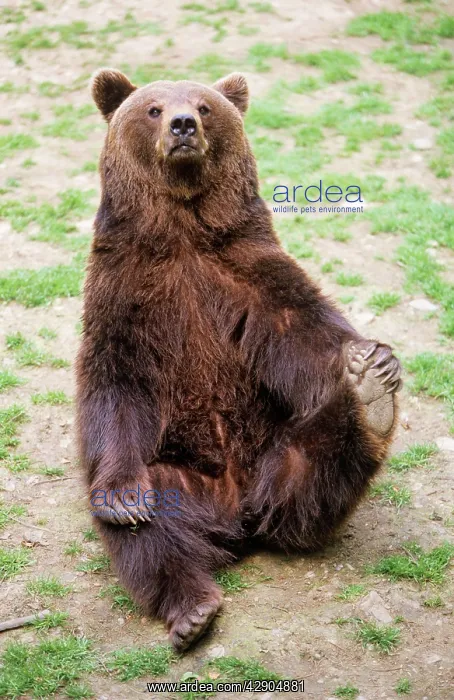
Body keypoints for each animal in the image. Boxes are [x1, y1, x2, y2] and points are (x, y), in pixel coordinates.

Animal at [75, 68, 402, 652]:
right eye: (154, 109)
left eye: (205, 106)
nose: (183, 124)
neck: (182, 230)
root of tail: (239, 514)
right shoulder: (125, 293)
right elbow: (115, 383)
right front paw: (122, 497)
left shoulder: (249, 274)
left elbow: (308, 333)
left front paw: (372, 360)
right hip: (181, 477)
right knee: (154, 528)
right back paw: (192, 608)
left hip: (281, 451)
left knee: (318, 465)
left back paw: (370, 401)